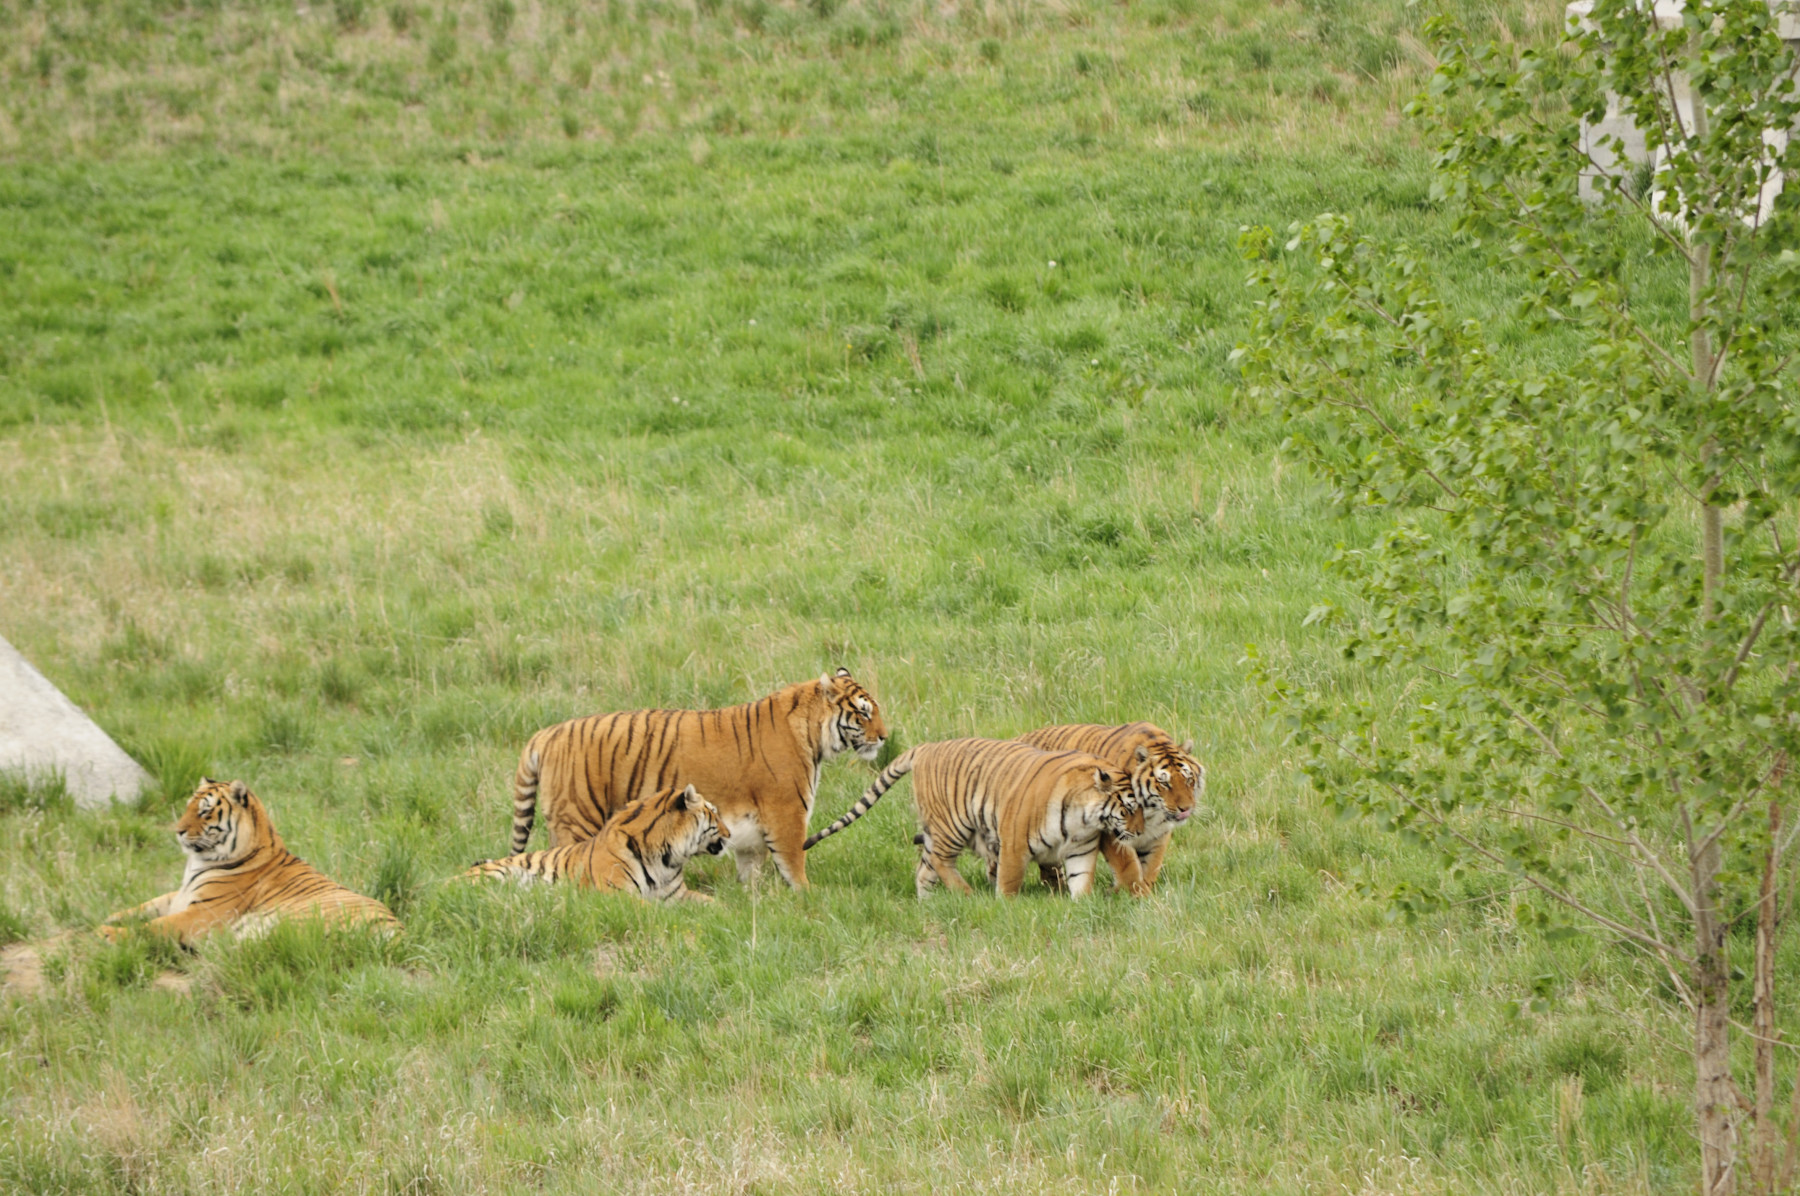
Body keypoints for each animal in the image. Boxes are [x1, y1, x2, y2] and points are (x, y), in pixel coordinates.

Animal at [98, 779, 399, 946]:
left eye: (204, 811)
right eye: (187, 807)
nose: (178, 831)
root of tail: (398, 931)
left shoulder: (202, 913)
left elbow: (155, 925)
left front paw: (107, 933)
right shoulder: (178, 897)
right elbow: (147, 905)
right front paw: (110, 916)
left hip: (296, 918)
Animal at [464, 784, 728, 903]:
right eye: (714, 813)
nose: (729, 834)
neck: (667, 858)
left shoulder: (677, 894)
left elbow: (714, 903)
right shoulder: (618, 895)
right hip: (498, 874)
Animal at [507, 667, 886, 891]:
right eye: (864, 712)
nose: (884, 737)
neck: (812, 735)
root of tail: (546, 734)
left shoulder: (750, 834)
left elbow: (751, 872)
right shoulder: (786, 815)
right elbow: (794, 866)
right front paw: (807, 897)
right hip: (578, 820)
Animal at [804, 738, 1138, 899]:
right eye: (1129, 809)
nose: (1138, 832)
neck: (1083, 820)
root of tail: (925, 747)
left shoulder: (1081, 848)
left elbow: (1081, 880)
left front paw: (1083, 904)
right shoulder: (1014, 842)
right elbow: (1009, 880)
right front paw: (1006, 905)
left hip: (938, 831)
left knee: (924, 869)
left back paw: (932, 904)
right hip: (952, 826)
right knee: (940, 862)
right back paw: (965, 893)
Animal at [1016, 723, 1204, 896]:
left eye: (1188, 779)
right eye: (1164, 783)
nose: (1186, 809)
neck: (1153, 812)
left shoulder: (1159, 834)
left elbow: (1151, 865)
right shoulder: (1112, 829)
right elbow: (1128, 865)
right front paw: (1135, 893)